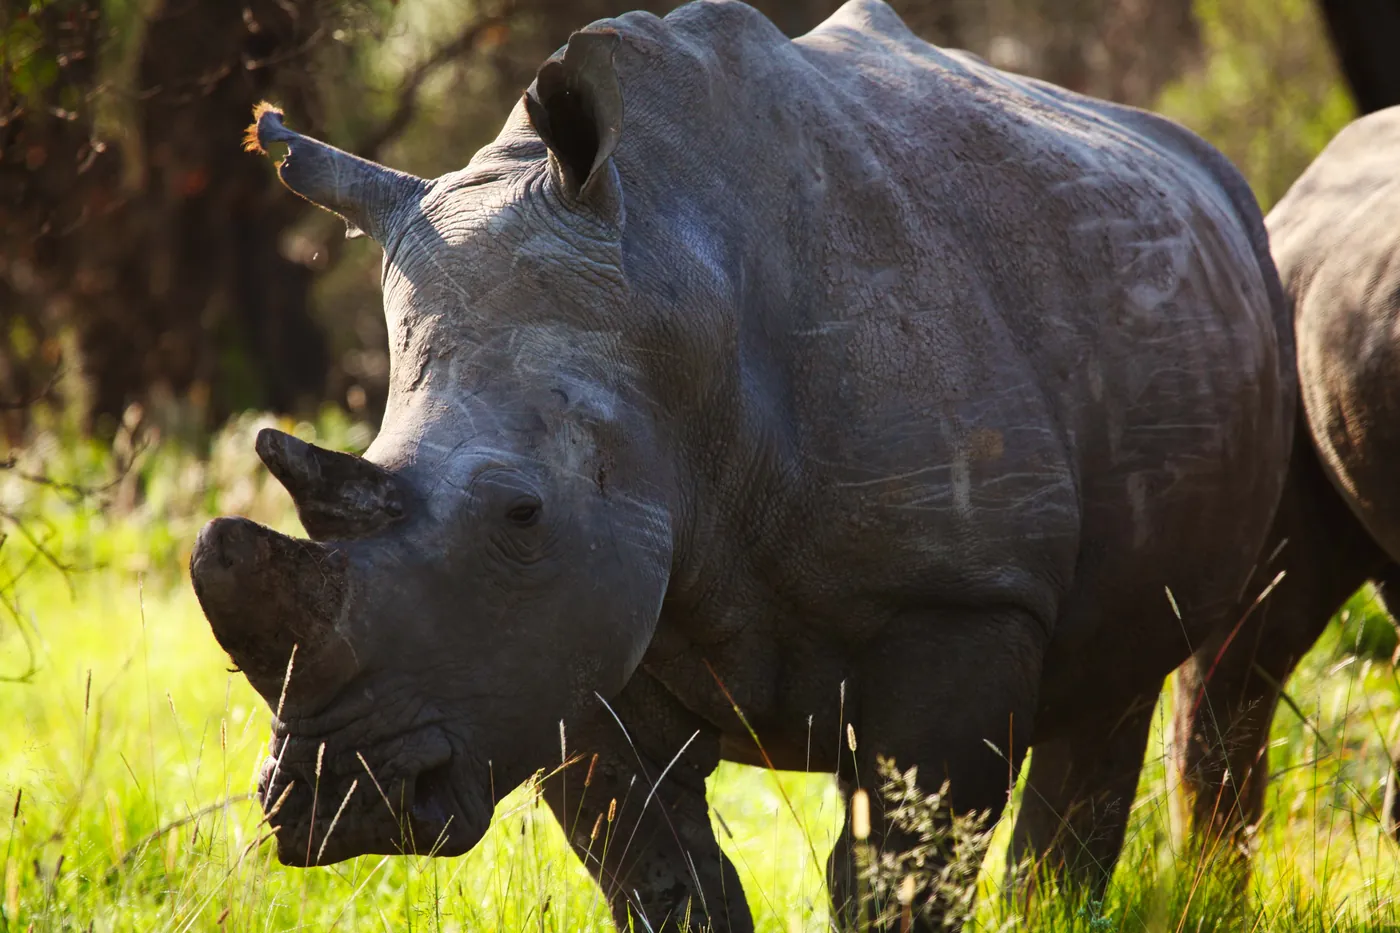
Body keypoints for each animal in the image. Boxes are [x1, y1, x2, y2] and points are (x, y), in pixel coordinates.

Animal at [190, 1, 1294, 928]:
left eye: (520, 514)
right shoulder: (566, 635)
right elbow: (665, 879)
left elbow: (902, 870)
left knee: (1122, 684)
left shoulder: (958, 598)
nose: (340, 805)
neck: (673, 289)